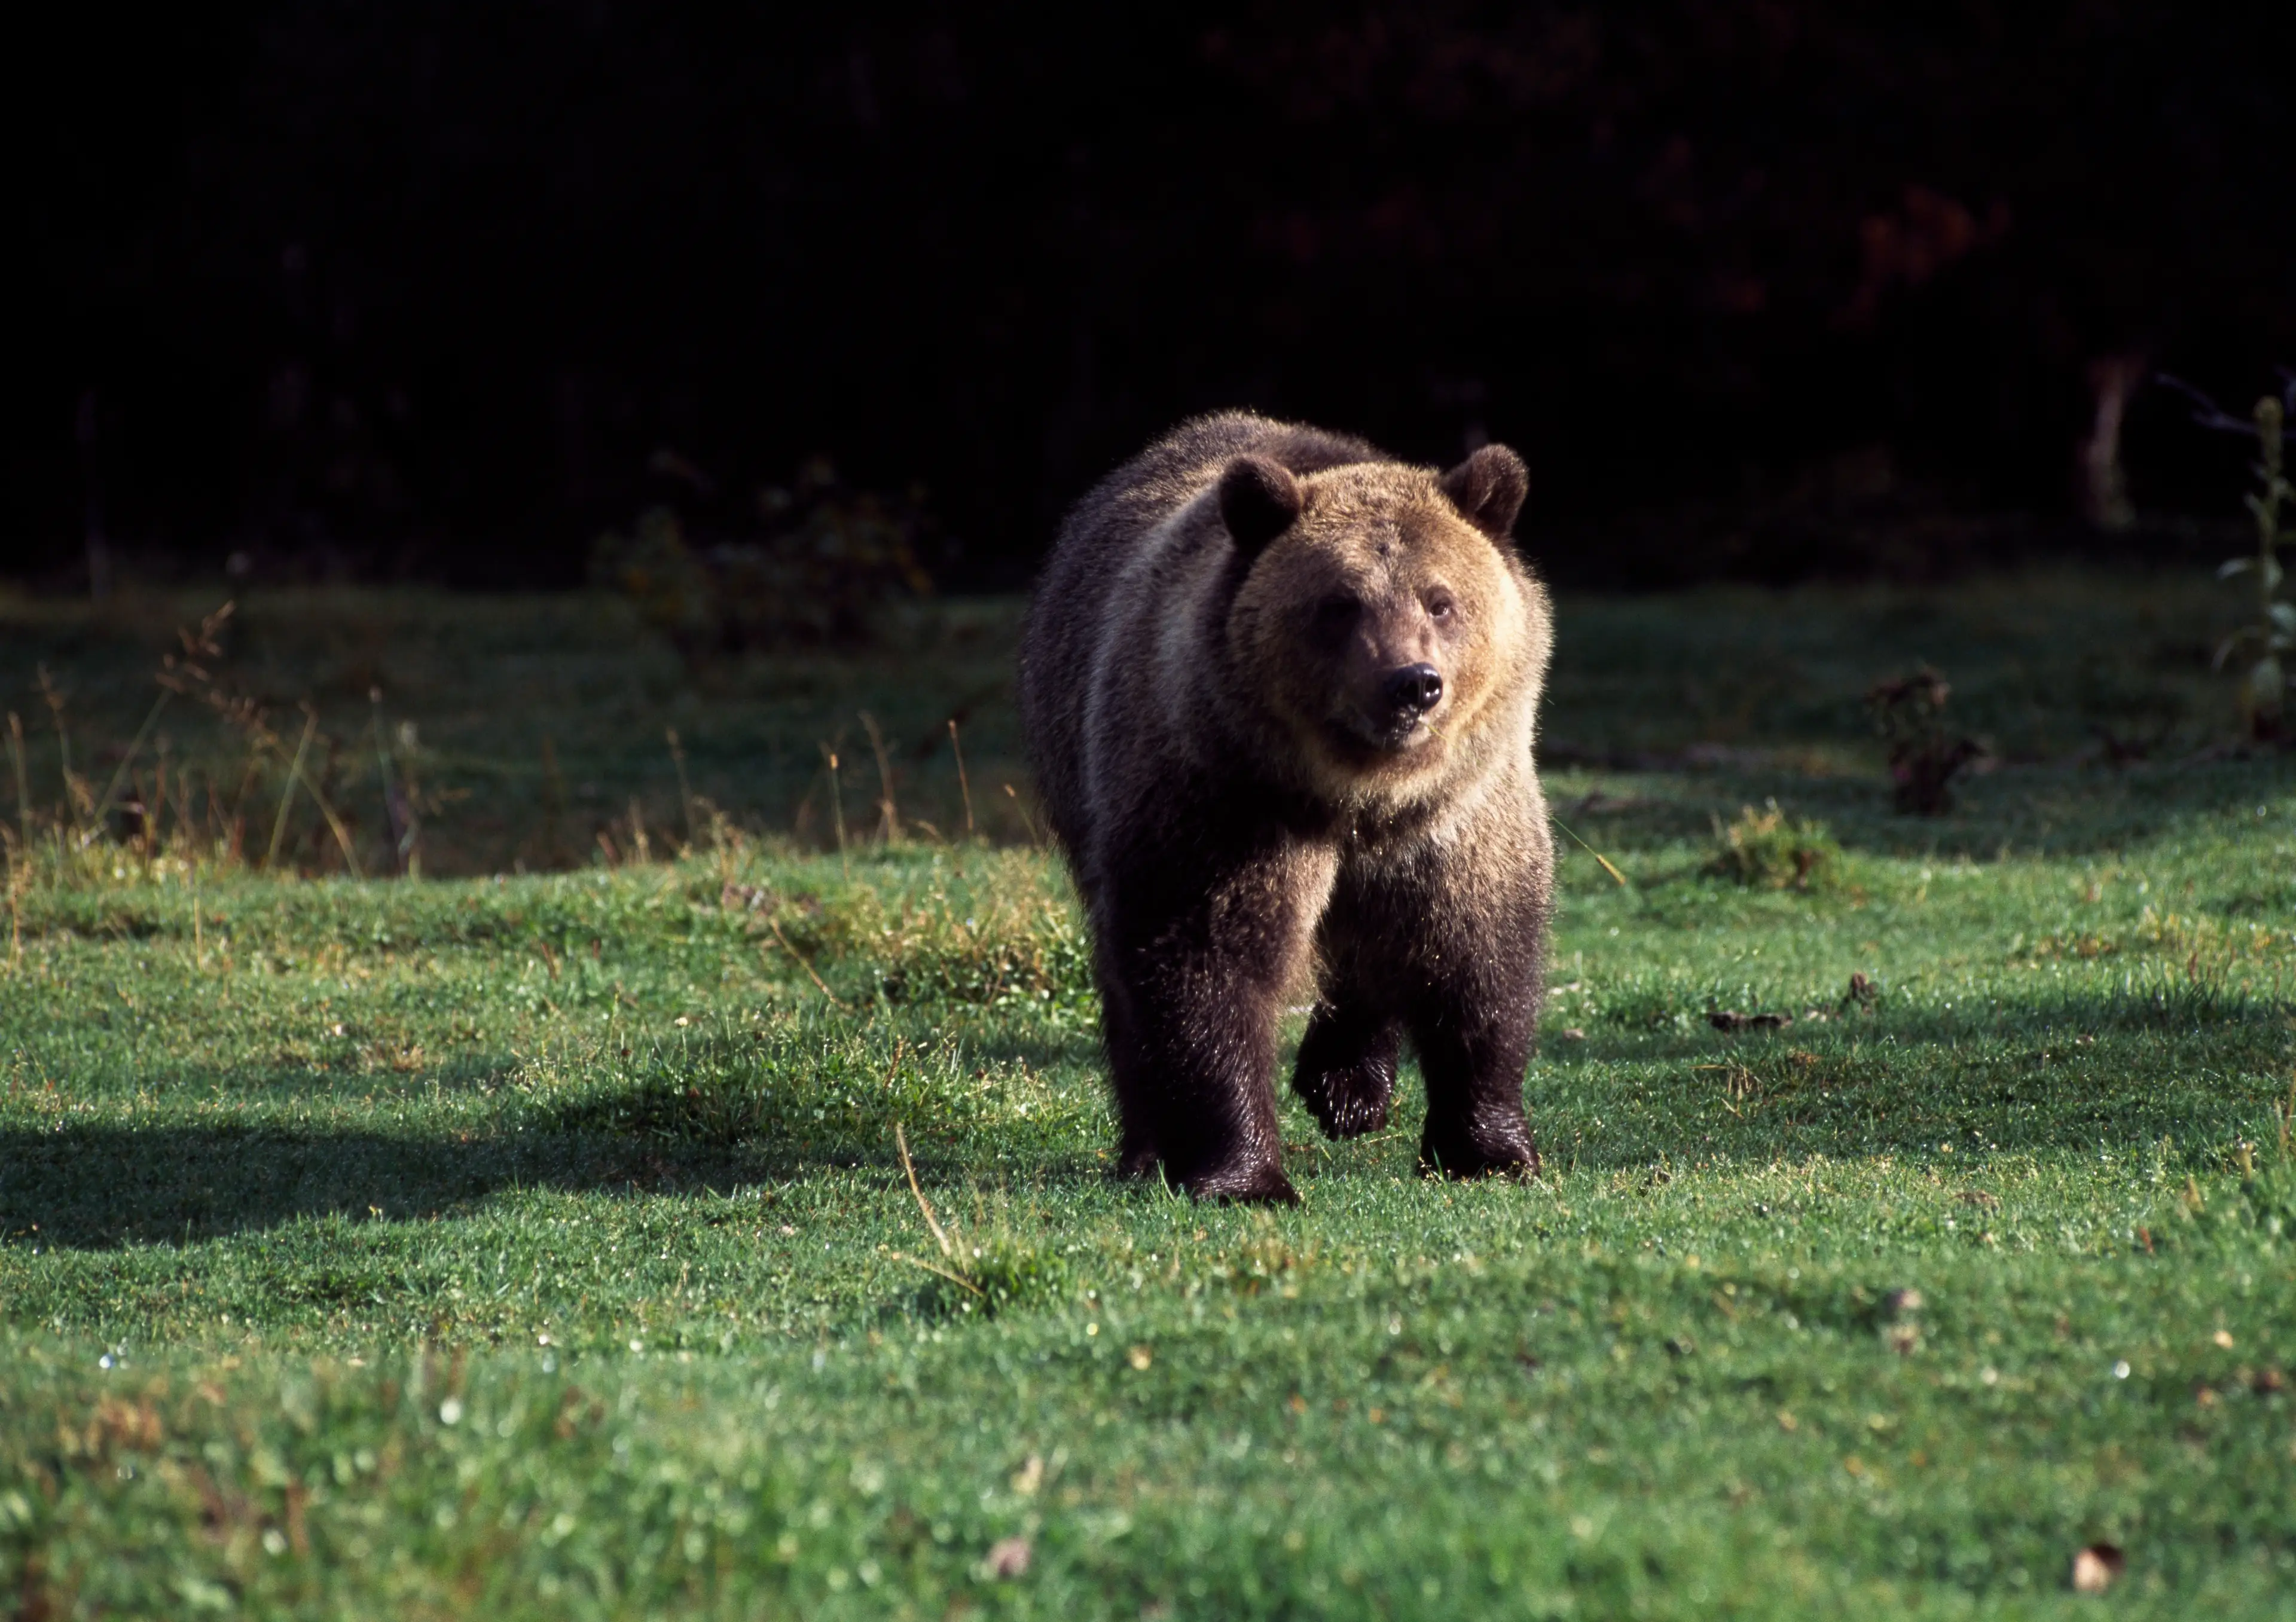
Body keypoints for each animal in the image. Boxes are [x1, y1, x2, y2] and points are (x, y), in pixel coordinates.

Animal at [1019, 411, 1556, 1202]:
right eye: (1339, 603)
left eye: (1441, 599)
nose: (1412, 683)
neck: (1358, 792)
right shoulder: (1225, 800)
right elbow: (1208, 962)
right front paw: (1243, 1174)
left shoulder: (1458, 813)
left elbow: (1476, 957)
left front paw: (1487, 1149)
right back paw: (1147, 1147)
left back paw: (1348, 1086)